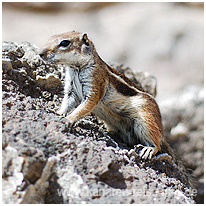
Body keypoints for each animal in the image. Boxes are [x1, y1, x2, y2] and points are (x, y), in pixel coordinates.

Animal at [39, 30, 175, 160]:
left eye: (64, 43)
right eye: (51, 37)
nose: (40, 53)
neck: (76, 68)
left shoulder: (95, 83)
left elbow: (86, 105)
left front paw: (69, 118)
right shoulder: (71, 89)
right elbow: (67, 101)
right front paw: (58, 112)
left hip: (146, 118)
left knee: (156, 142)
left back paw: (150, 148)